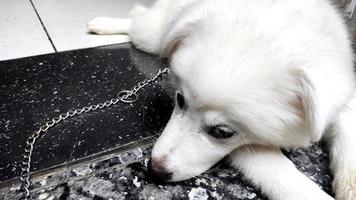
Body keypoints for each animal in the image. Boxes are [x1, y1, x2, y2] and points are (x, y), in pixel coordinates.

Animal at [87, 0, 356, 199]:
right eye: (180, 100)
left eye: (221, 132)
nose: (154, 169)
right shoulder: (247, 148)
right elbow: (280, 174)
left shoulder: (345, 94)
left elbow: (348, 135)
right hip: (154, 37)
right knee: (139, 21)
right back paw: (101, 24)